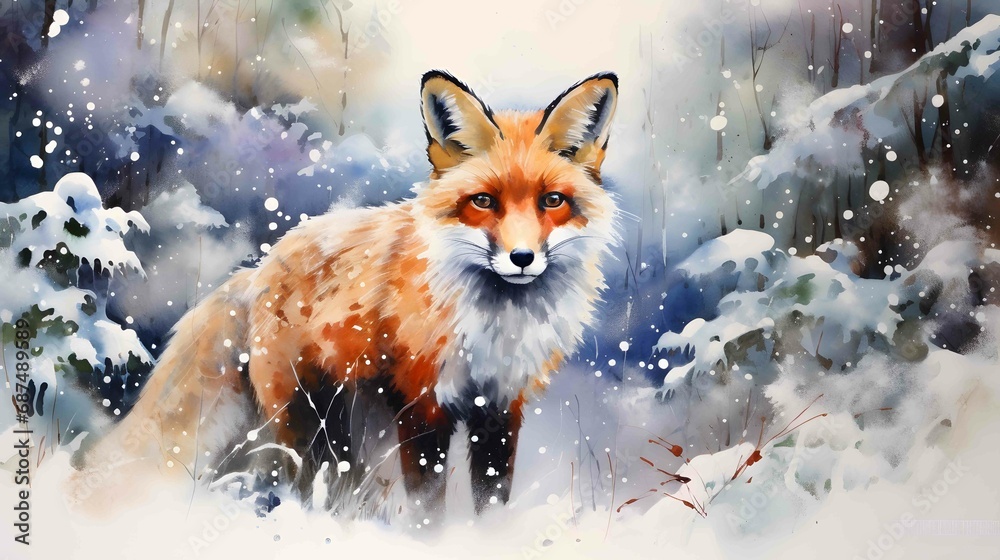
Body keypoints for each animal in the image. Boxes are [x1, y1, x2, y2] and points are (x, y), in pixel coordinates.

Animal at [82, 71, 620, 517]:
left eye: (552, 201)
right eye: (484, 201)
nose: (522, 258)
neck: (495, 327)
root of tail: (259, 269)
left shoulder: (501, 409)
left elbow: (492, 500)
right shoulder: (422, 404)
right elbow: (427, 507)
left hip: (346, 429)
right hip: (306, 421)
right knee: (302, 484)